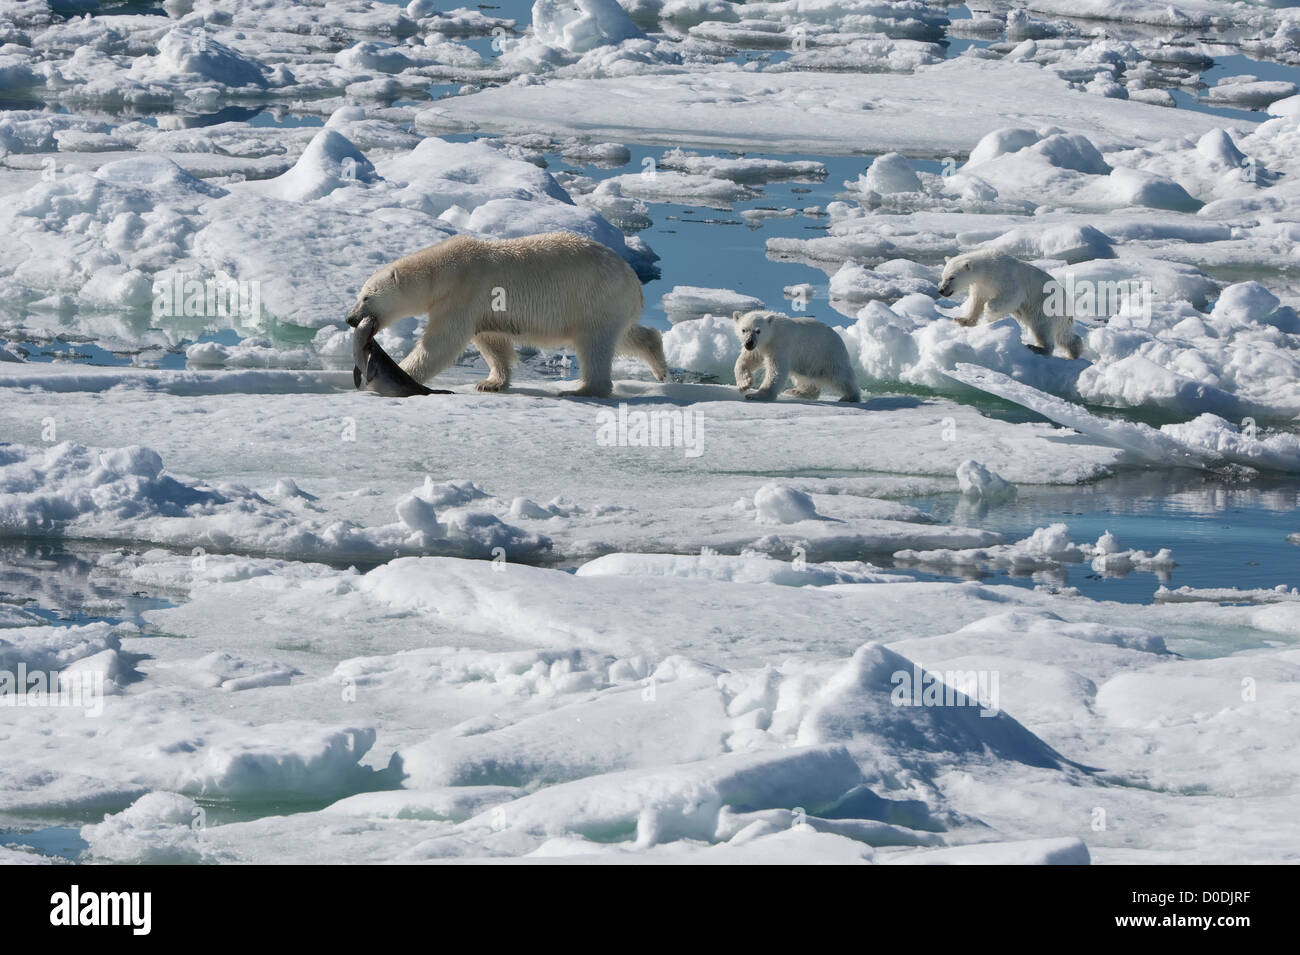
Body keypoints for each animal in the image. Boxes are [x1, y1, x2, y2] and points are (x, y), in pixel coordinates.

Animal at [345, 231, 667, 397]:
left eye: (366, 296)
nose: (350, 319)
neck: (444, 271)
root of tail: (633, 280)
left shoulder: (464, 294)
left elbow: (441, 343)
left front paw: (404, 373)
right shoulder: (480, 307)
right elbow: (492, 341)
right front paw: (491, 383)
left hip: (594, 297)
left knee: (594, 345)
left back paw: (584, 390)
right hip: (611, 305)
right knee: (626, 334)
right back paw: (658, 363)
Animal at [732, 310, 860, 402]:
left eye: (758, 331)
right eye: (744, 330)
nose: (749, 343)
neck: (773, 331)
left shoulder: (780, 343)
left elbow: (776, 369)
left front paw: (757, 395)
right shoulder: (760, 347)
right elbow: (747, 359)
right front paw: (744, 383)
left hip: (827, 353)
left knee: (840, 376)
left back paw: (851, 397)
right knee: (804, 377)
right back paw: (796, 391)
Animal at [937, 249, 1084, 359]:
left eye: (952, 277)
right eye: (943, 276)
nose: (941, 290)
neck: (986, 269)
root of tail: (1068, 307)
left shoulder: (1005, 278)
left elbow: (1010, 297)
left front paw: (989, 314)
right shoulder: (981, 285)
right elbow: (976, 301)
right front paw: (962, 320)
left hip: (1045, 307)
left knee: (1042, 327)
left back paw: (1037, 347)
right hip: (1059, 317)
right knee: (1064, 336)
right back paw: (1073, 352)